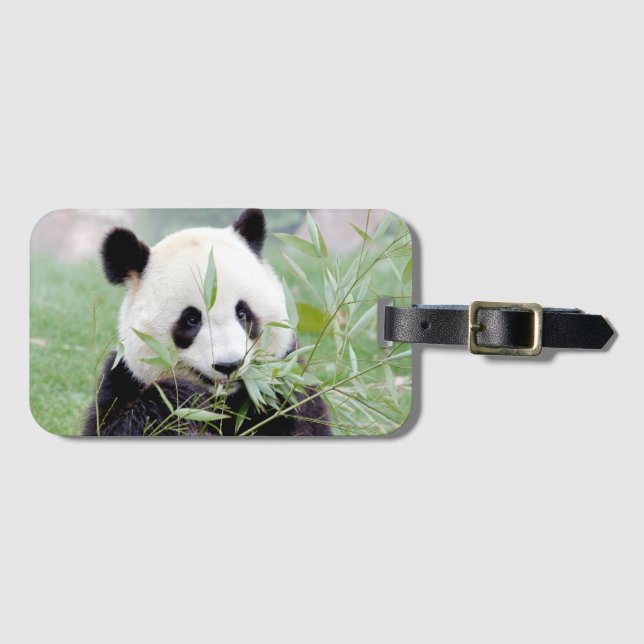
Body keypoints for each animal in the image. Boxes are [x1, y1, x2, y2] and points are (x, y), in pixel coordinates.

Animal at [83, 209, 331, 436]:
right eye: (191, 320)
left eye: (243, 314)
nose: (229, 365)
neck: (226, 401)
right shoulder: (122, 380)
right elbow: (116, 425)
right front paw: (182, 398)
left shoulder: (291, 381)